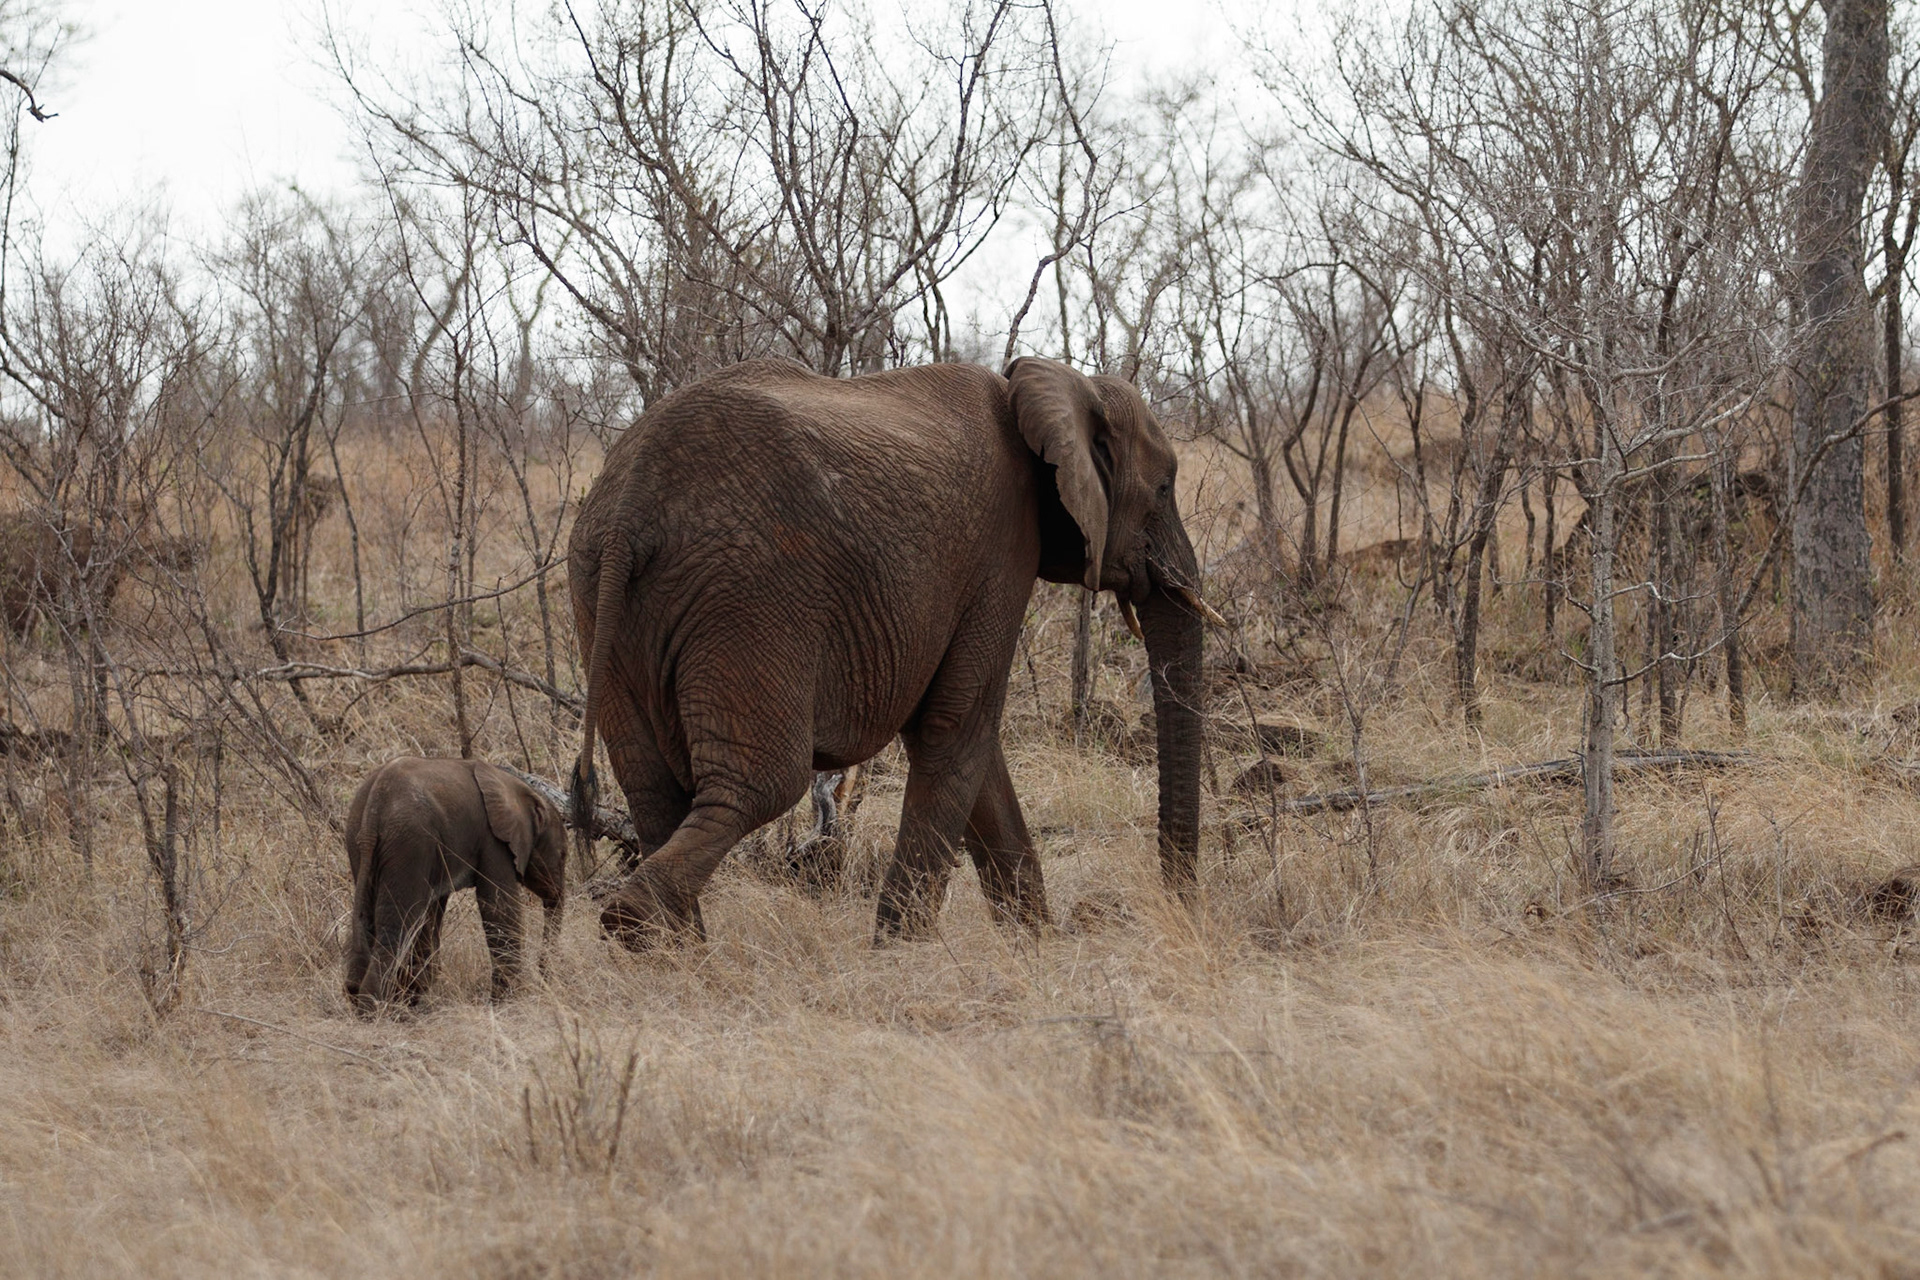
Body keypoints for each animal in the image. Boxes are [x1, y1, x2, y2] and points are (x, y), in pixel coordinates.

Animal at [343, 757, 566, 1013]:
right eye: (563, 856)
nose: (545, 980)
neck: (521, 789)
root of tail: (374, 805)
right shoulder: (494, 841)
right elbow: (498, 907)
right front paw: (508, 1003)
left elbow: (431, 917)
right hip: (410, 844)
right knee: (398, 926)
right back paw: (375, 1010)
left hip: (362, 841)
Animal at [567, 356, 1221, 948]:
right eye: (1164, 487)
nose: (1178, 907)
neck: (1050, 385)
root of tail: (629, 510)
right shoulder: (1003, 546)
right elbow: (958, 726)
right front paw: (903, 952)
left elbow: (973, 748)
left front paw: (1037, 947)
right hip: (747, 598)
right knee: (761, 784)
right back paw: (636, 928)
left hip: (602, 599)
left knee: (653, 790)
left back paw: (681, 958)